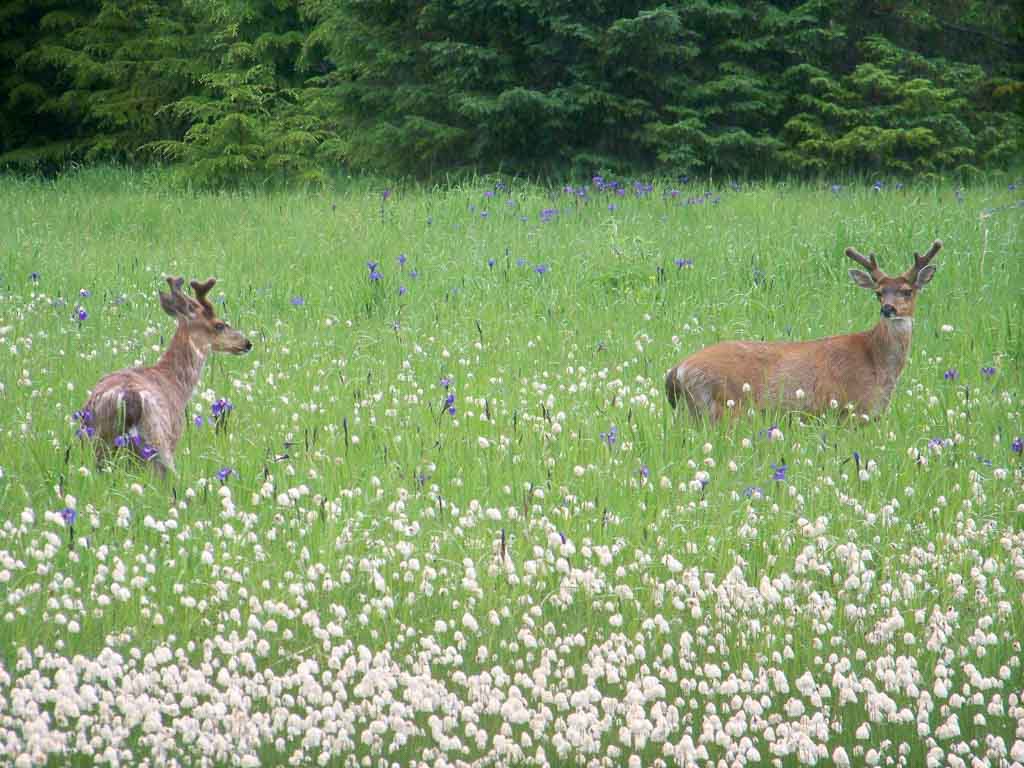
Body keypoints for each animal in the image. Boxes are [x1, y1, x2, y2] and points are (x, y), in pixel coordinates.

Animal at [76, 276, 251, 475]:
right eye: (219, 325)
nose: (247, 343)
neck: (176, 382)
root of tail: (129, 397)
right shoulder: (175, 432)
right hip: (157, 440)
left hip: (95, 440)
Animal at [663, 239, 942, 421]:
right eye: (879, 292)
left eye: (907, 291)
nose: (888, 308)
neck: (877, 362)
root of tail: (678, 369)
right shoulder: (850, 410)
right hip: (722, 407)